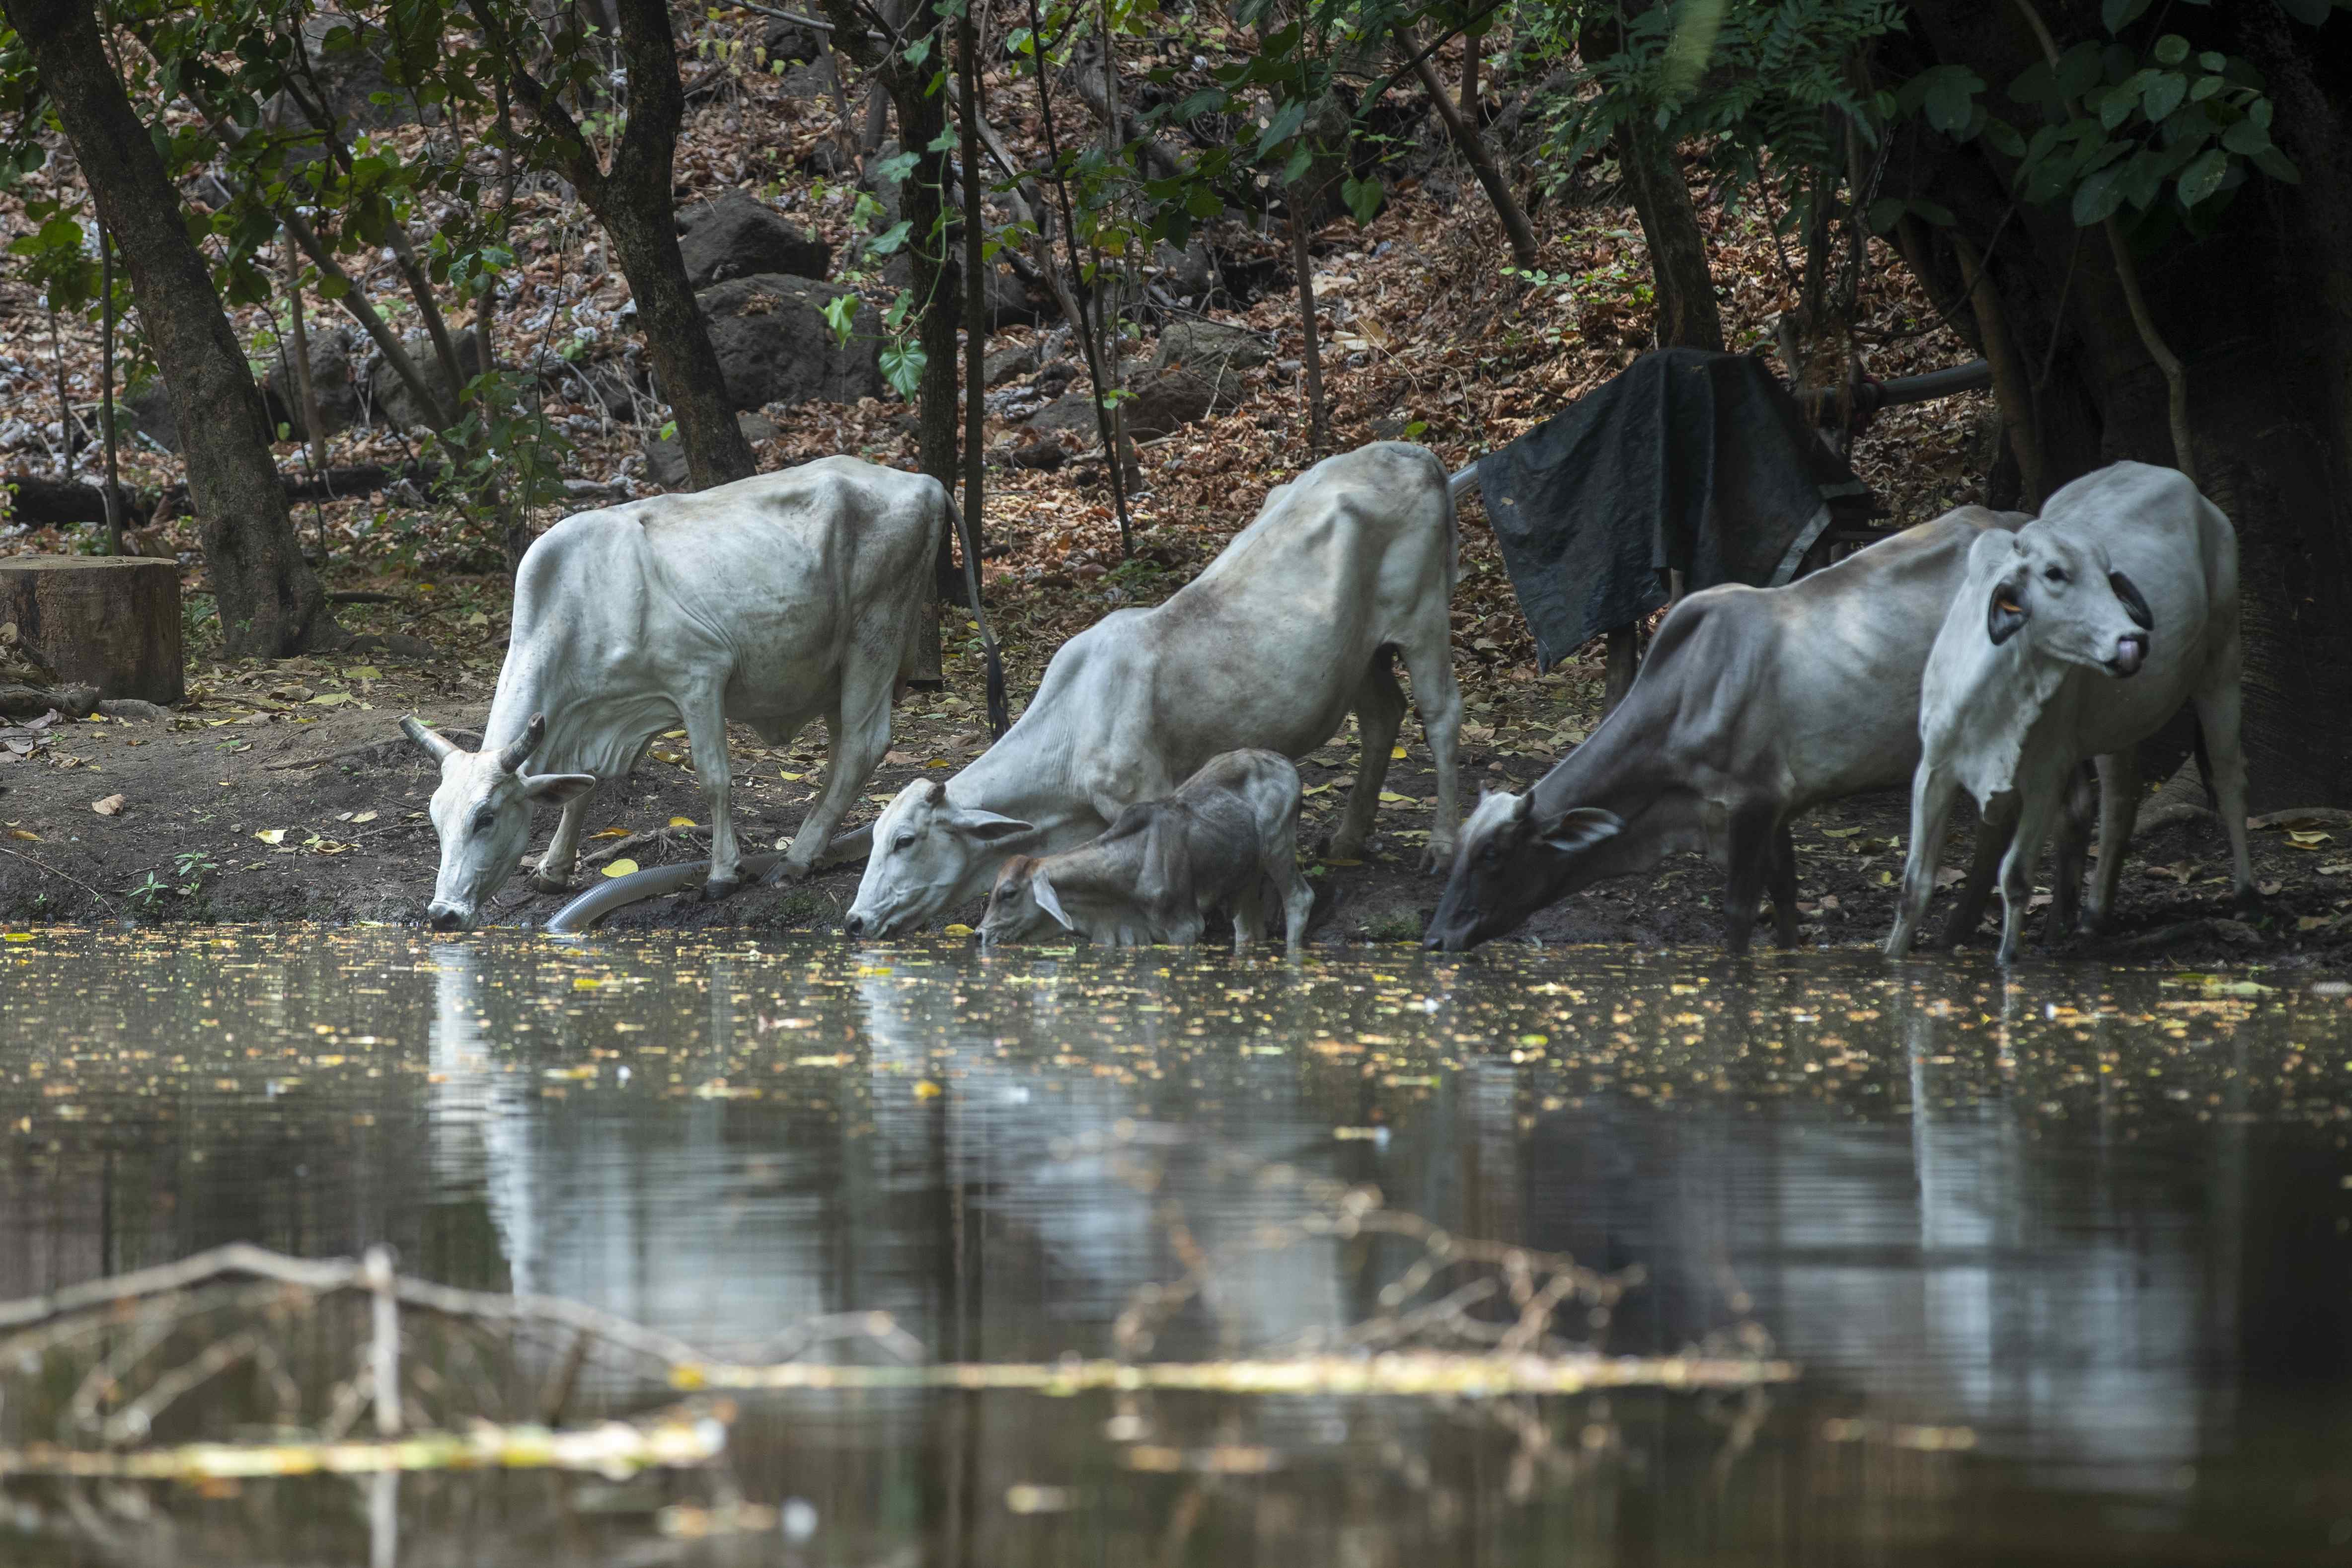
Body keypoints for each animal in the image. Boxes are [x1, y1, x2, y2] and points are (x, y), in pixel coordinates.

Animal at [402, 456, 945, 931]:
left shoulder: (699, 676)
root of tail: (924, 481)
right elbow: (585, 788)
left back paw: (794, 859)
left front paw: (723, 874)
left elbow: (714, 778)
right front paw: (554, 869)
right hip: (838, 669)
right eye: (435, 820)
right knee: (841, 753)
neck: (583, 600)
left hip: (874, 638)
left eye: (486, 818)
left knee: (861, 746)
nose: (443, 912)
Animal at [846, 435, 1458, 940]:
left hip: (1423, 617)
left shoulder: (1148, 798)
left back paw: (1441, 847)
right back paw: (1350, 839)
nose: (854, 921)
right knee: (1383, 716)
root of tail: (1407, 450)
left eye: (906, 840)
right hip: (1362, 657)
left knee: (1441, 715)